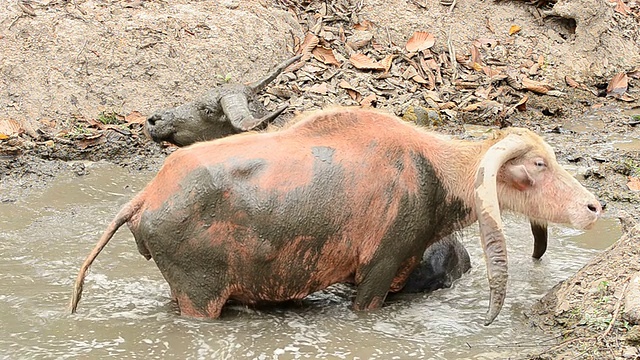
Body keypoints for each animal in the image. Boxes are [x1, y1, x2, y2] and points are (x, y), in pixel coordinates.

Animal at [72, 107, 604, 324]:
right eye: (539, 165)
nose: (595, 206)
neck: (432, 170)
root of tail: (145, 196)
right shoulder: (378, 271)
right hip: (198, 297)